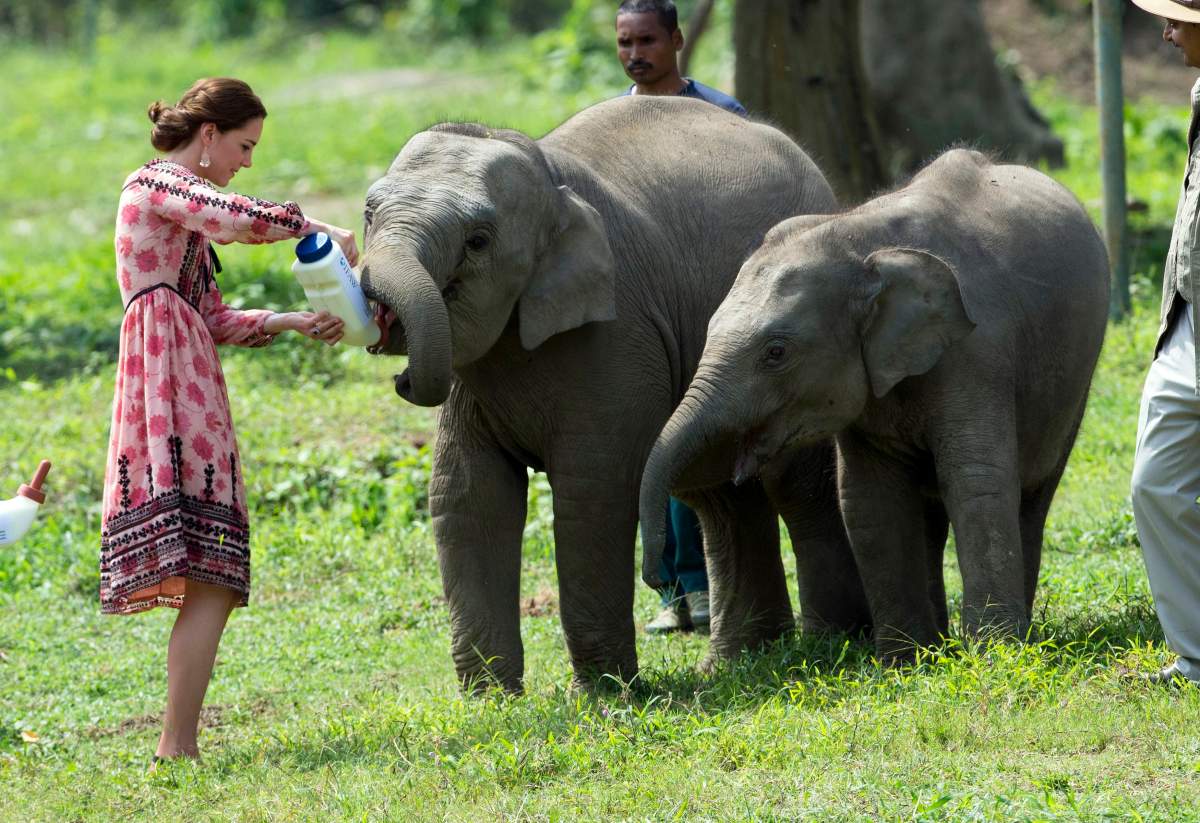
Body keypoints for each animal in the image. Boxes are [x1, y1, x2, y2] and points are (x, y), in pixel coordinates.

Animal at [358, 95, 863, 691]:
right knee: (721, 499)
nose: (400, 373)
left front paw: (603, 695)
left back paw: (832, 643)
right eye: (368, 214)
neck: (547, 176)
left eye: (478, 241)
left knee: (795, 487)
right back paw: (741, 661)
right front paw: (491, 699)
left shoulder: (617, 333)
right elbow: (467, 493)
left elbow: (593, 493)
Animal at [639, 149, 1110, 663]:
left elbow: (977, 481)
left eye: (776, 352)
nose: (654, 579)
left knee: (1032, 492)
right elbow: (867, 499)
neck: (857, 239)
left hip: (1074, 383)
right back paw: (940, 641)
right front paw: (905, 660)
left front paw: (994, 654)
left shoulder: (978, 354)